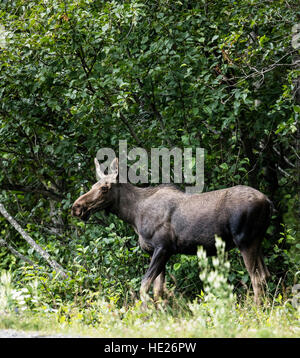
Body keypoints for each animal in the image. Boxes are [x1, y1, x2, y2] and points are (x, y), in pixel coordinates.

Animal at [71, 158, 274, 304]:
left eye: (104, 188)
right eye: (92, 186)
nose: (76, 207)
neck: (134, 216)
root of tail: (268, 202)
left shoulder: (163, 247)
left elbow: (144, 285)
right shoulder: (158, 251)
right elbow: (158, 290)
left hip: (245, 240)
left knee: (256, 278)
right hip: (257, 240)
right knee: (265, 275)